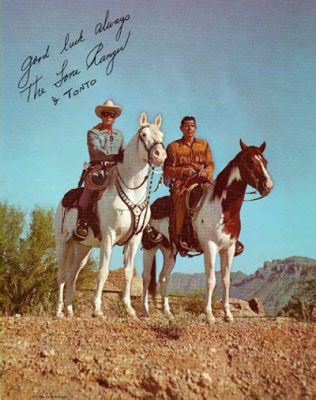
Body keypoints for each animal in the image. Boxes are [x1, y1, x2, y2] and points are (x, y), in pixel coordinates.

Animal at [55, 113, 167, 318]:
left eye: (161, 136)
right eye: (144, 134)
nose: (160, 155)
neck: (131, 190)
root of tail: (64, 199)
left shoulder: (134, 240)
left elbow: (128, 272)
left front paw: (129, 309)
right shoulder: (108, 236)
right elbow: (103, 271)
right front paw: (97, 309)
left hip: (83, 247)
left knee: (72, 274)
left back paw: (69, 310)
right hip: (62, 243)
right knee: (61, 275)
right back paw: (58, 311)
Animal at [143, 141, 274, 322]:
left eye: (265, 162)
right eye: (251, 162)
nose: (268, 186)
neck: (222, 208)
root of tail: (153, 206)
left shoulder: (229, 248)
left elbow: (226, 280)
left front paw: (228, 315)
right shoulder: (210, 247)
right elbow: (211, 280)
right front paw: (210, 314)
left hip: (170, 250)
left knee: (164, 277)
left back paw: (168, 312)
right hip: (150, 247)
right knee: (146, 277)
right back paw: (145, 311)